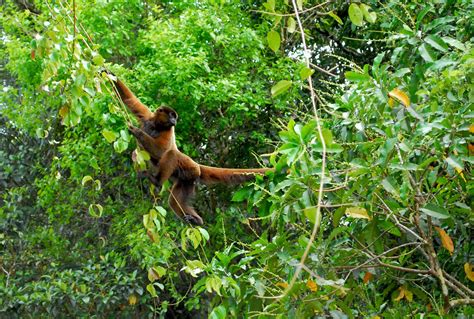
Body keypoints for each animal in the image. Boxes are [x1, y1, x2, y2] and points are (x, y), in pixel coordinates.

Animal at [106, 74, 270, 226]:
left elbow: (162, 150)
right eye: (171, 115)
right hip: (186, 179)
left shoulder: (169, 130)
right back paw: (196, 220)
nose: (174, 120)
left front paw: (136, 131)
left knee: (172, 154)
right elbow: (130, 99)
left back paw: (157, 181)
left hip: (189, 169)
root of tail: (197, 166)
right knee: (173, 200)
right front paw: (109, 74)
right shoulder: (148, 117)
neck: (157, 126)